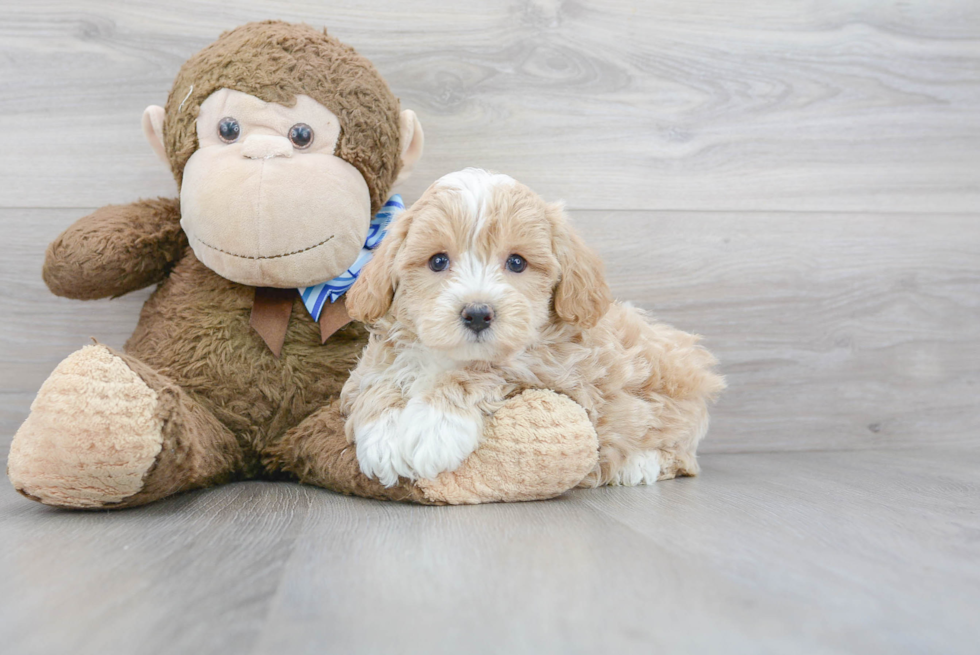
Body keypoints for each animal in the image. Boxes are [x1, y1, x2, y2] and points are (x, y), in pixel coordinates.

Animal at [340, 169, 724, 486]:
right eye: (437, 261)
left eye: (516, 262)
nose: (477, 313)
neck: (450, 356)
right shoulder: (379, 360)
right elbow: (378, 381)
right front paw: (383, 439)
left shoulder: (558, 374)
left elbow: (484, 372)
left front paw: (434, 427)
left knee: (682, 454)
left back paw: (639, 465)